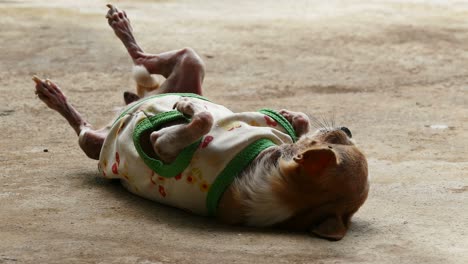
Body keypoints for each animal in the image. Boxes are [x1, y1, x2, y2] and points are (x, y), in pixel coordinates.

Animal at [33, 4, 370, 241]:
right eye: (339, 139)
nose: (346, 128)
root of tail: (139, 97)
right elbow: (293, 120)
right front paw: (290, 117)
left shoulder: (160, 144)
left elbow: (203, 120)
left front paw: (187, 107)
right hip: (194, 62)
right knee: (148, 58)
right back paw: (121, 27)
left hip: (94, 142)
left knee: (87, 126)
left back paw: (54, 94)